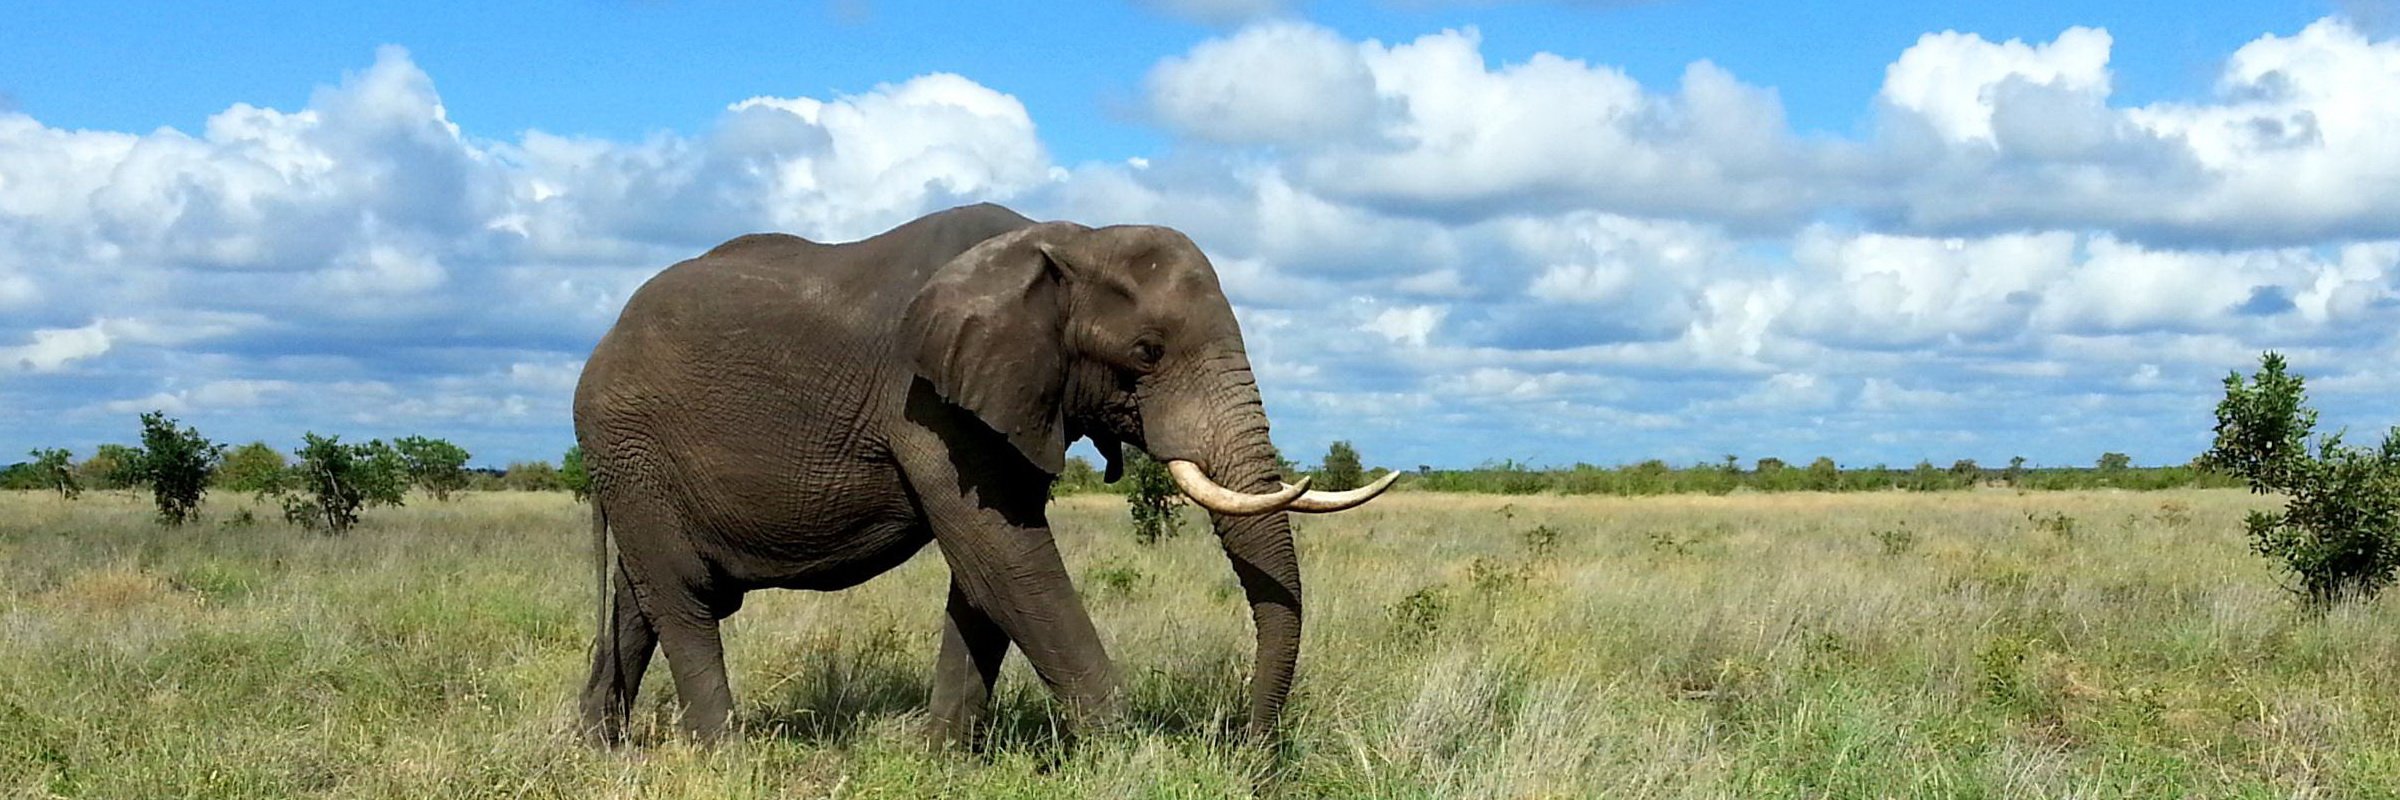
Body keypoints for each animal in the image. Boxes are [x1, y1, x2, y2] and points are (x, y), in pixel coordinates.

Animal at [573, 203, 1401, 744]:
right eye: (1146, 353)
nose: (1249, 746)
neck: (1067, 240)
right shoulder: (925, 398)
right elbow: (1001, 552)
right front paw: (1130, 753)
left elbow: (986, 571)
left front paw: (940, 757)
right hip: (628, 444)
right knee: (683, 596)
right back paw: (725, 753)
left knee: (641, 599)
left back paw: (596, 747)